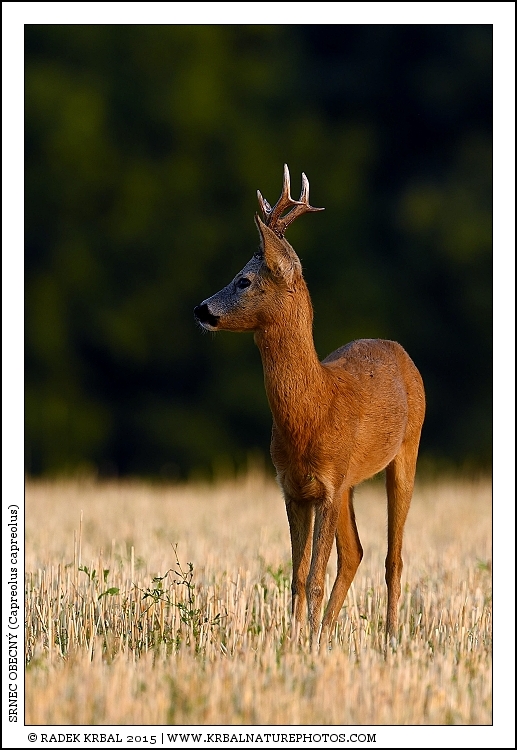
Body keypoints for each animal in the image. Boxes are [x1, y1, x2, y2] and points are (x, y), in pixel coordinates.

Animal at [194, 165, 425, 648]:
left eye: (244, 279)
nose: (200, 310)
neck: (311, 410)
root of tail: (397, 349)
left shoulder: (329, 485)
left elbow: (315, 577)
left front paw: (309, 642)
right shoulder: (295, 488)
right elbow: (298, 576)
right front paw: (296, 640)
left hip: (406, 451)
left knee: (393, 558)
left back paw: (390, 638)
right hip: (351, 483)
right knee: (355, 553)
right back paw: (331, 631)